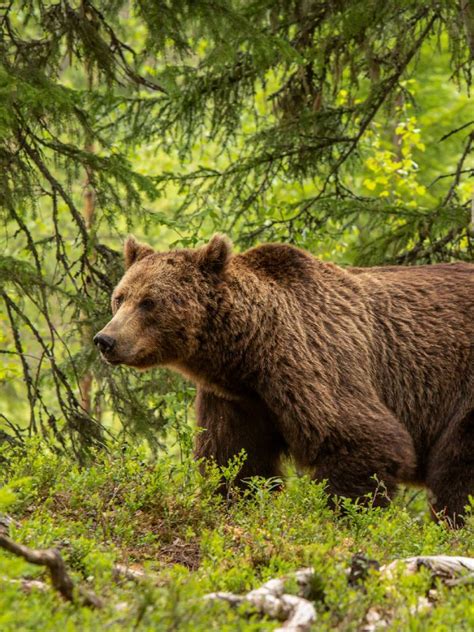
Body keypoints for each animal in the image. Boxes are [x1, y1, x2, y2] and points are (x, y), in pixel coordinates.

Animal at [94, 235, 472, 524]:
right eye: (120, 297)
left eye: (149, 302)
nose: (105, 340)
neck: (250, 353)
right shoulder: (238, 400)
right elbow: (234, 460)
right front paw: (236, 504)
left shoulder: (313, 362)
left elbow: (363, 440)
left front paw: (342, 519)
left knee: (457, 469)